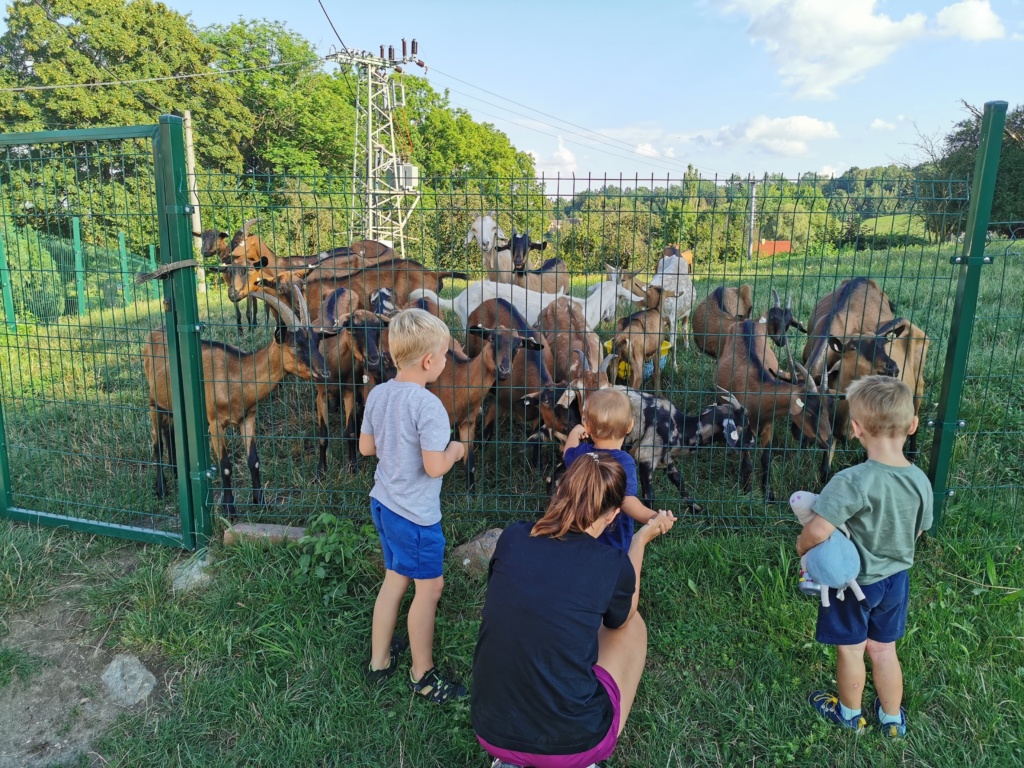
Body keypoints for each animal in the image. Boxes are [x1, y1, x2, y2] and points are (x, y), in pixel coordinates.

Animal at [142, 288, 325, 524]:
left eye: (316, 340)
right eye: (294, 344)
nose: (325, 372)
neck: (235, 376)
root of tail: (153, 333)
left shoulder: (248, 418)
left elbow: (254, 460)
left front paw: (260, 502)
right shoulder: (215, 424)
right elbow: (226, 466)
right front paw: (229, 509)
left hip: (171, 404)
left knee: (169, 431)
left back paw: (176, 473)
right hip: (153, 402)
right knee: (157, 443)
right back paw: (161, 489)